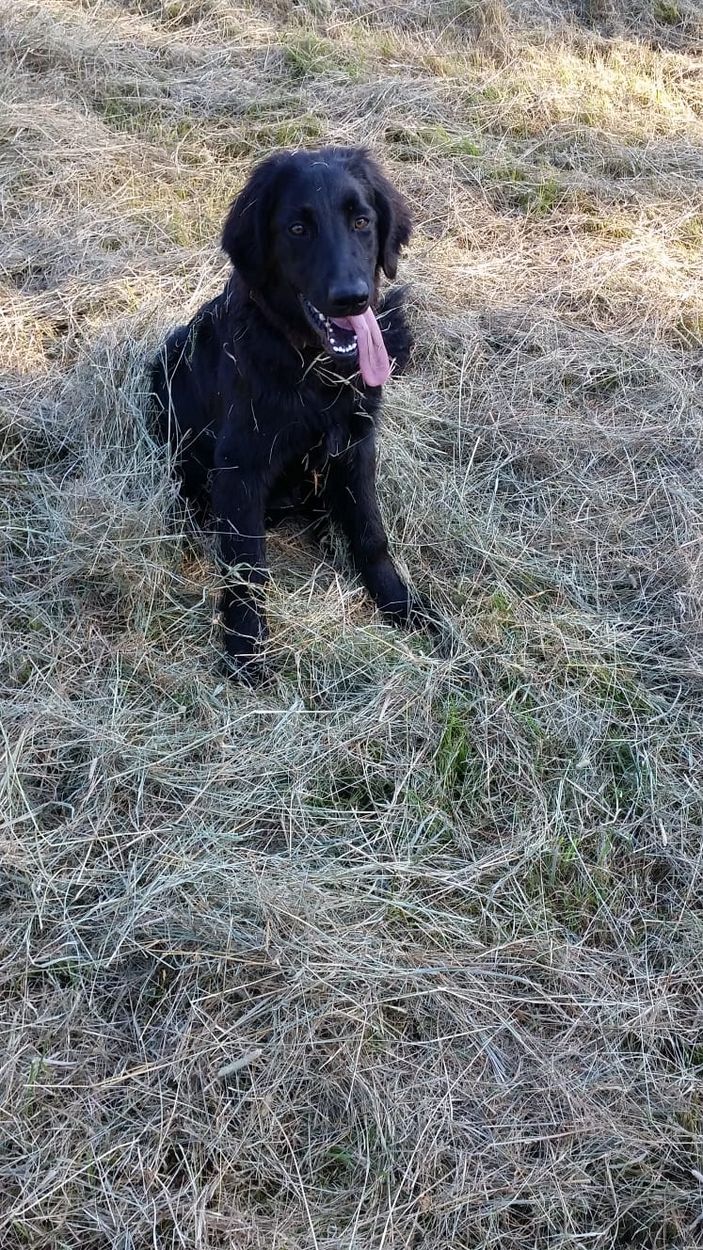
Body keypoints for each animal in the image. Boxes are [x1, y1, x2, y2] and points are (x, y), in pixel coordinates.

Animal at [152, 145, 425, 681]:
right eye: (298, 229)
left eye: (362, 221)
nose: (352, 298)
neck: (312, 368)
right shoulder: (240, 468)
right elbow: (246, 565)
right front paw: (245, 647)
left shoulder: (357, 446)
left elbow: (371, 532)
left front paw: (401, 606)